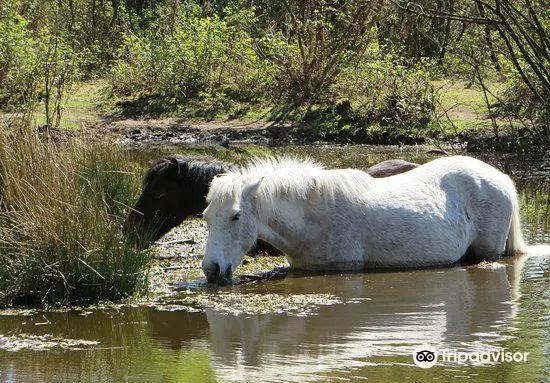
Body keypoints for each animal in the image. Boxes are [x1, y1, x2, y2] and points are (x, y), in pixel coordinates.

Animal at [202, 154, 528, 284]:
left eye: (235, 216)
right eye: (206, 217)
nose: (211, 269)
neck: (313, 221)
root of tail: (499, 177)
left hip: (488, 252)